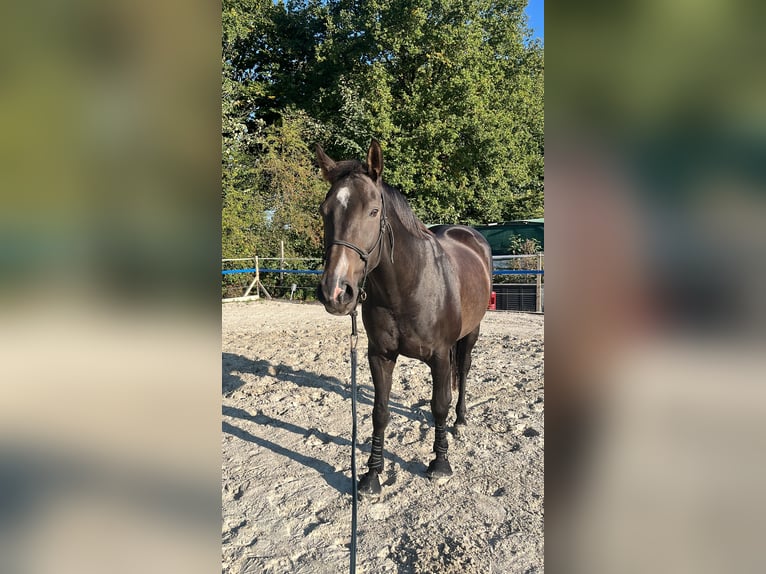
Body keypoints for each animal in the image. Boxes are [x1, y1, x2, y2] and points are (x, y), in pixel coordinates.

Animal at [316, 140, 492, 497]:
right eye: (325, 211)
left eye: (373, 211)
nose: (335, 292)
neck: (407, 287)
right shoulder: (380, 355)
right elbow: (379, 412)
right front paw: (372, 474)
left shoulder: (440, 355)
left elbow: (440, 405)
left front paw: (440, 464)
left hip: (472, 333)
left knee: (464, 370)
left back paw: (460, 420)